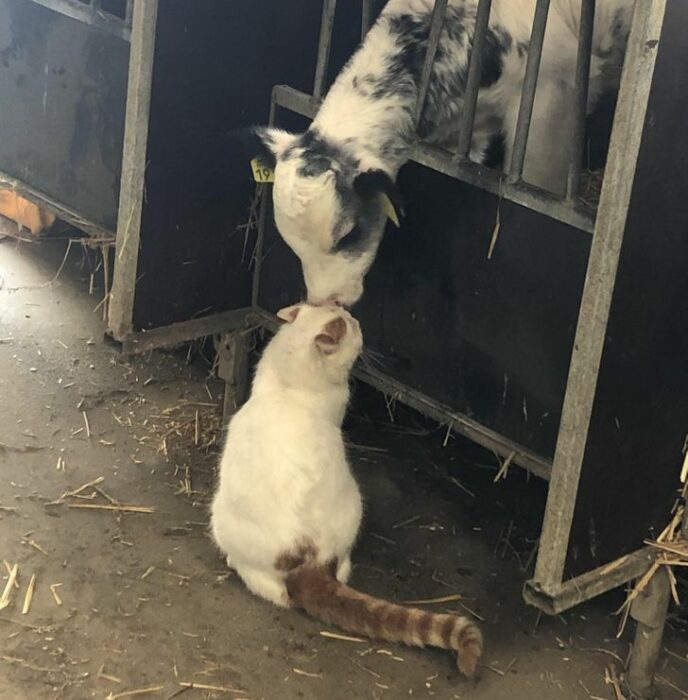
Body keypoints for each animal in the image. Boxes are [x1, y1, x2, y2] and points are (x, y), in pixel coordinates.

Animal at [211, 304, 484, 676]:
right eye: (353, 327)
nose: (361, 325)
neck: (291, 367)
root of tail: (311, 557)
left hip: (223, 515)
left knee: (274, 590)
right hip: (354, 505)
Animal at [253, 0, 636, 306]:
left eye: (350, 234)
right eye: (290, 242)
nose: (325, 301)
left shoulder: (549, 105)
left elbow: (540, 182)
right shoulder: (461, 135)